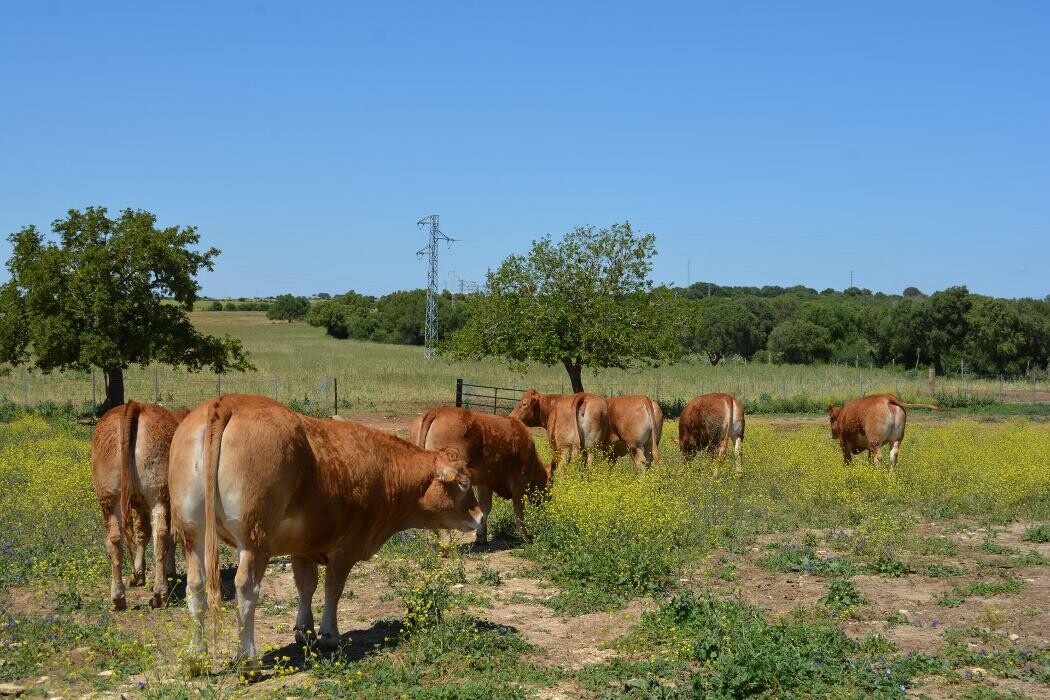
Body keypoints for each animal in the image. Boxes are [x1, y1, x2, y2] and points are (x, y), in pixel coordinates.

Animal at [91, 402, 188, 608]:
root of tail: (135, 405)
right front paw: (167, 573)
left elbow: (143, 533)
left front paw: (139, 573)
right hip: (158, 496)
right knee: (160, 533)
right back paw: (160, 592)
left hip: (110, 498)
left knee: (115, 539)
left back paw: (118, 597)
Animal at [169, 394, 482, 663]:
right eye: (464, 483)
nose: (479, 517)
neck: (382, 469)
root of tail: (228, 401)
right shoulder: (346, 547)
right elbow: (334, 587)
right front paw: (329, 635)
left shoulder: (302, 545)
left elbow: (306, 585)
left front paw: (304, 631)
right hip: (254, 539)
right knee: (246, 588)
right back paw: (247, 659)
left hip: (192, 533)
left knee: (195, 584)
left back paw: (195, 654)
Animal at [411, 405, 558, 545]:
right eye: (550, 485)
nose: (549, 502)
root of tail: (438, 410)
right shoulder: (520, 481)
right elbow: (518, 510)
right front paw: (525, 538)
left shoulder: (485, 481)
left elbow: (485, 507)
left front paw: (481, 538)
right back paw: (446, 544)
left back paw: (432, 542)